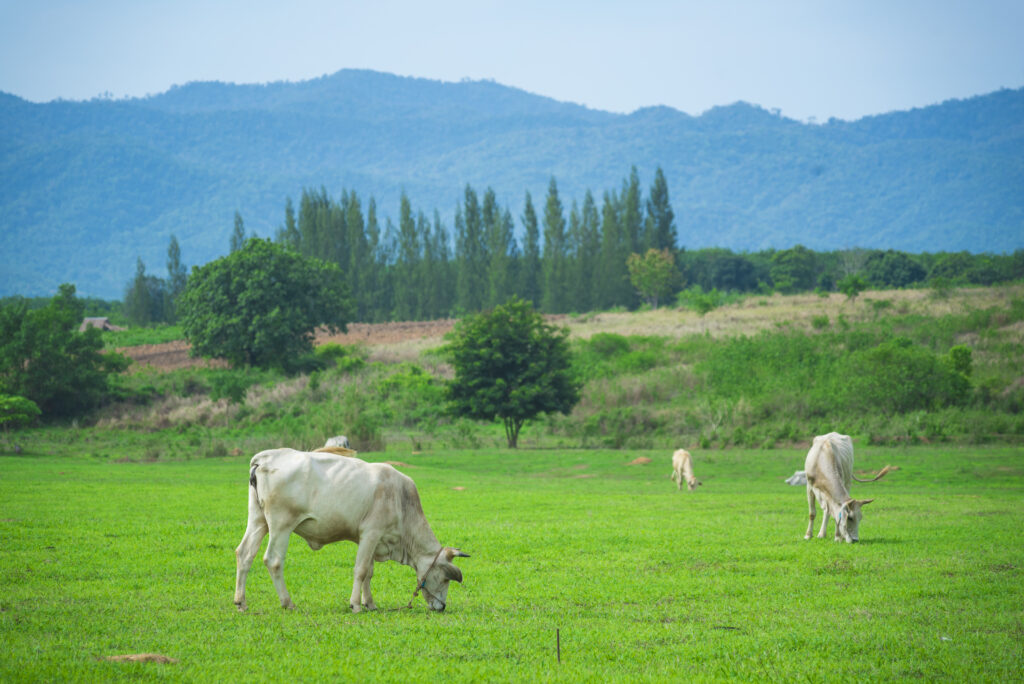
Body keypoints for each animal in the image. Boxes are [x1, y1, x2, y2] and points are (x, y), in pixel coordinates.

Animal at [234, 448, 468, 614]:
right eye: (445, 577)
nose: (442, 607)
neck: (401, 501)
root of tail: (264, 458)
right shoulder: (371, 533)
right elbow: (361, 570)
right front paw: (355, 604)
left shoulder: (370, 540)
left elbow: (369, 573)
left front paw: (370, 603)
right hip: (281, 525)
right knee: (273, 560)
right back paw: (287, 602)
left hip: (258, 520)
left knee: (245, 554)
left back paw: (241, 602)